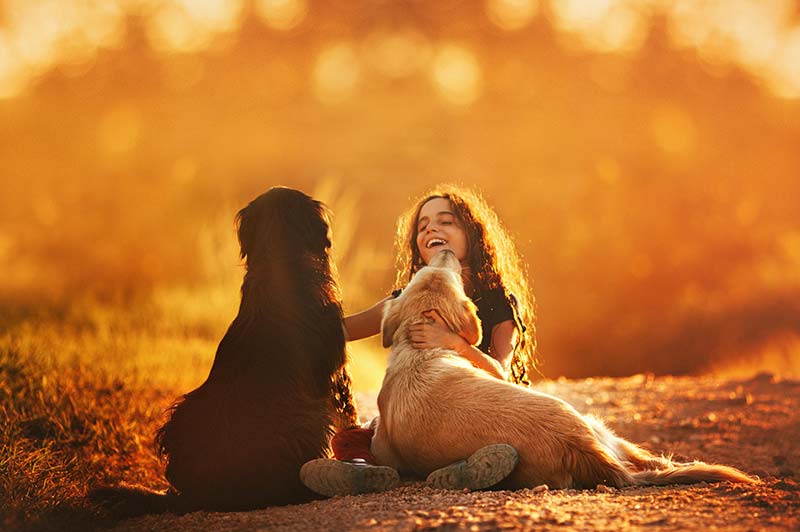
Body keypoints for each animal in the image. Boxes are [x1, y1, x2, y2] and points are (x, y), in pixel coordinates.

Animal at [90, 187, 360, 516]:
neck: (280, 266)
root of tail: (198, 496)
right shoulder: (337, 373)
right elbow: (349, 412)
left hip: (180, 413)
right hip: (309, 417)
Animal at [372, 251, 752, 488]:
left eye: (442, 272)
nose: (448, 250)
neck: (421, 347)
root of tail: (577, 443)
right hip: (598, 426)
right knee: (653, 461)